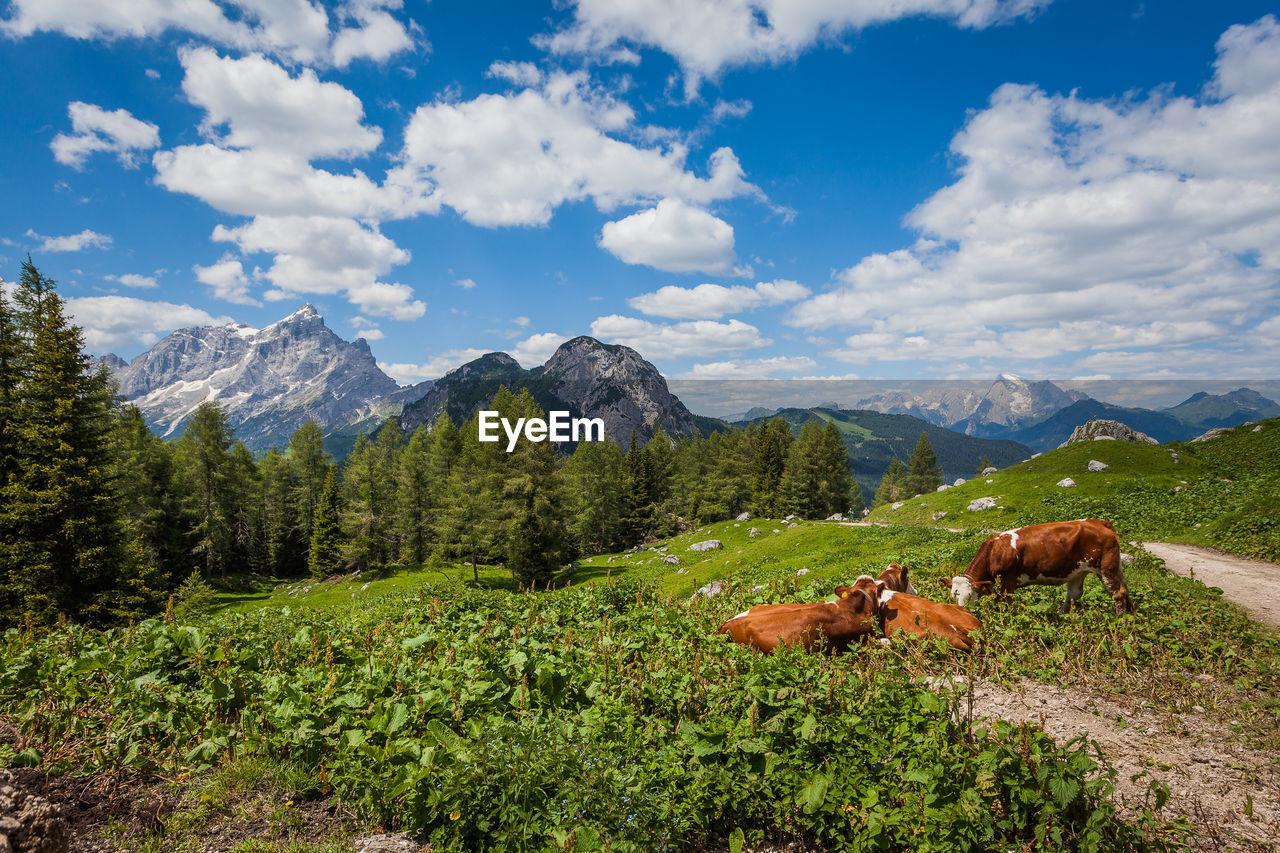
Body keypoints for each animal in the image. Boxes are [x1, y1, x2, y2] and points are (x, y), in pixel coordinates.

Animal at [942, 512, 1131, 612]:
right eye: (952, 596)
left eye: (968, 596)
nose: (958, 611)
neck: (995, 551)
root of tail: (1100, 522)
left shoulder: (1008, 582)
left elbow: (1005, 603)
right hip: (1081, 570)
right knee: (1074, 594)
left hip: (1106, 567)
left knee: (1118, 593)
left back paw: (1120, 620)